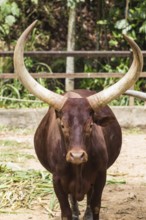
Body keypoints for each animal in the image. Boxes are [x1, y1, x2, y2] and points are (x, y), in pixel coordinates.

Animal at [13, 19, 143, 219]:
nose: (76, 156)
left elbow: (95, 206)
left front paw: (89, 213)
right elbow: (65, 211)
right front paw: (72, 213)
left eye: (90, 125)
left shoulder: (101, 177)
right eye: (62, 125)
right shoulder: (57, 181)